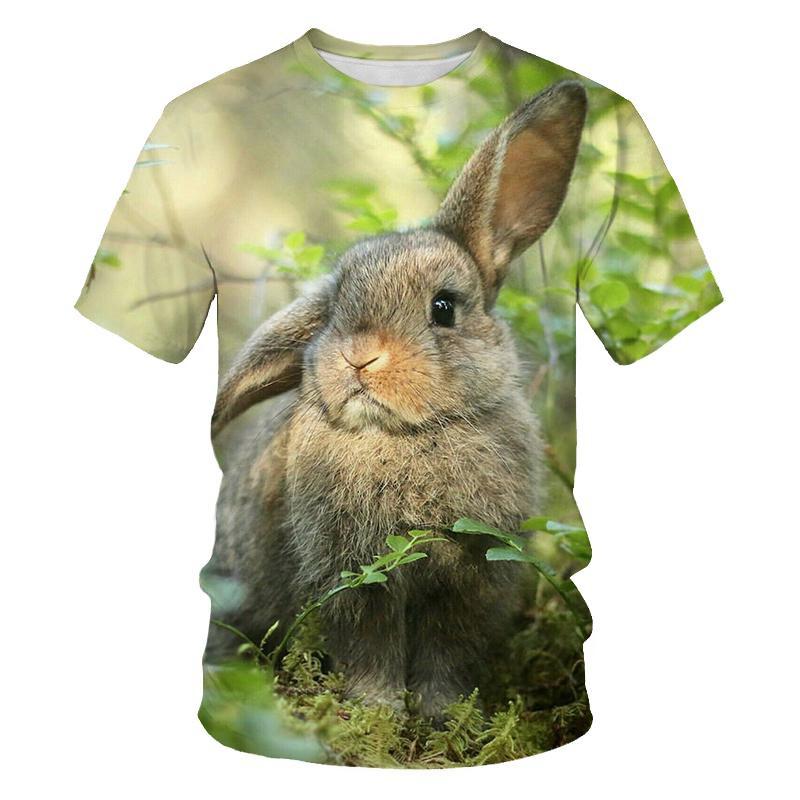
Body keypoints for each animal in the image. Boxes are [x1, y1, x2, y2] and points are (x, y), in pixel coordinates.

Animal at [205, 80, 587, 719]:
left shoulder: (469, 580)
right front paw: (377, 710)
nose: (358, 357)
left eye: (444, 308)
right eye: (334, 310)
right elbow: (370, 649)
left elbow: (447, 654)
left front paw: (442, 715)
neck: (406, 436)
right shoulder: (354, 579)